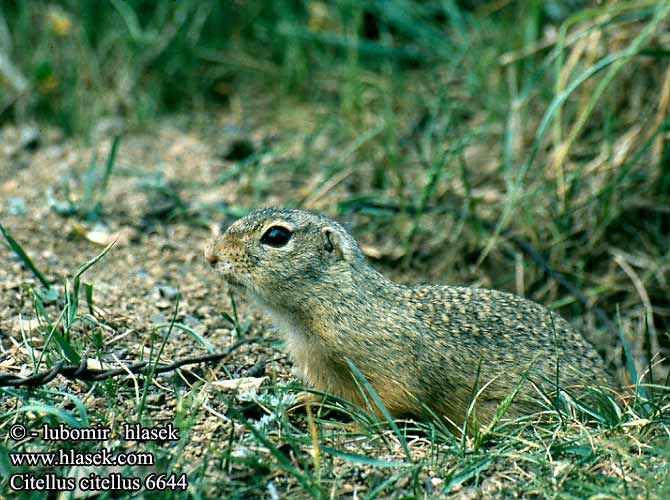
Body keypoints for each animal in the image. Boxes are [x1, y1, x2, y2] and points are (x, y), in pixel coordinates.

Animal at [206, 207, 620, 426]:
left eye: (276, 236)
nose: (211, 255)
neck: (332, 301)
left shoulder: (388, 369)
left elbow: (389, 404)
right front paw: (301, 403)